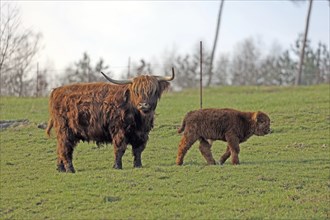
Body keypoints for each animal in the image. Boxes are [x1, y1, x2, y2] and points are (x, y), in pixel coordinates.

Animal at [47, 68, 175, 173]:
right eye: (136, 91)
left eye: (153, 91)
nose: (143, 104)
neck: (140, 118)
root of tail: (56, 90)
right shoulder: (119, 130)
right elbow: (120, 148)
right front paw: (117, 166)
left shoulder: (142, 134)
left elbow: (138, 150)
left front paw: (138, 165)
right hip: (65, 130)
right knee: (65, 149)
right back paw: (70, 169)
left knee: (60, 148)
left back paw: (60, 169)